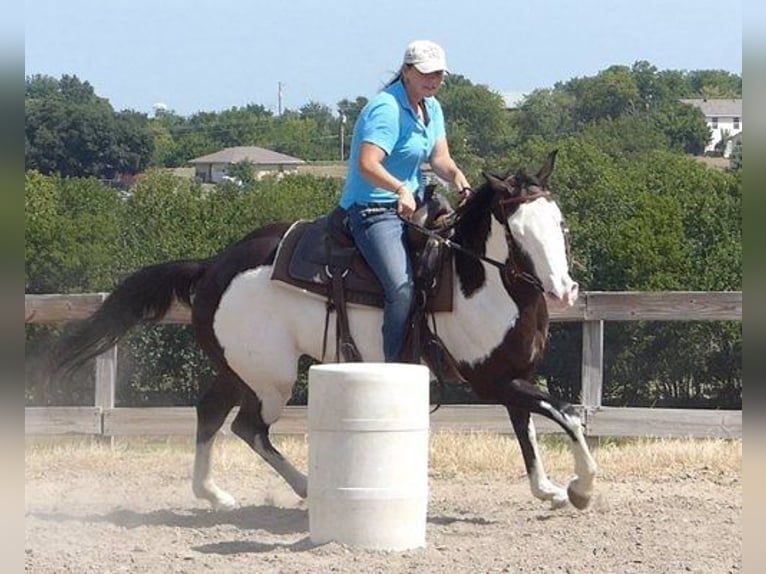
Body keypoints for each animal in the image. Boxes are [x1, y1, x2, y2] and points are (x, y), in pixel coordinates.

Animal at [46, 150, 597, 511]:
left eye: (560, 222)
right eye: (518, 233)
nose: (563, 289)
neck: (472, 280)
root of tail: (213, 266)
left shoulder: (512, 375)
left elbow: (529, 430)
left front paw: (548, 488)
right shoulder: (492, 381)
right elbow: (567, 414)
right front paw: (581, 488)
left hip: (241, 369)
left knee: (210, 412)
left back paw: (216, 494)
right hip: (271, 378)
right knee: (249, 427)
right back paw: (306, 487)